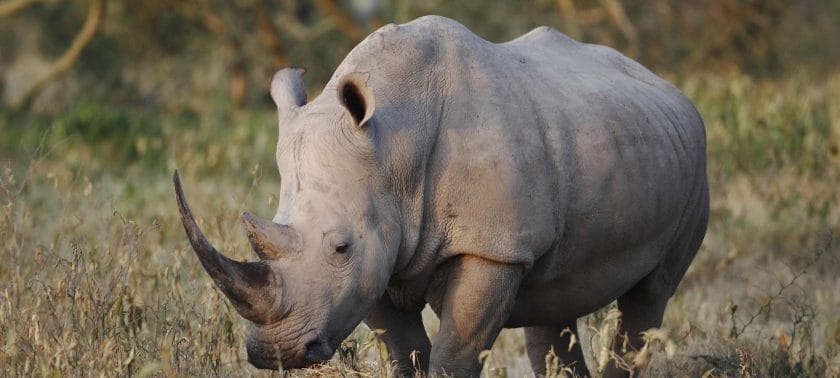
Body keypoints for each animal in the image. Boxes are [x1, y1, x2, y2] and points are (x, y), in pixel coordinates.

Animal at [172, 14, 708, 376]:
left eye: (341, 247)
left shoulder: (491, 248)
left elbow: (455, 353)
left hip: (695, 167)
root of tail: (667, 84)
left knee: (649, 297)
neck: (393, 149)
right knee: (552, 307)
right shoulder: (378, 258)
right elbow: (404, 353)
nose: (275, 353)